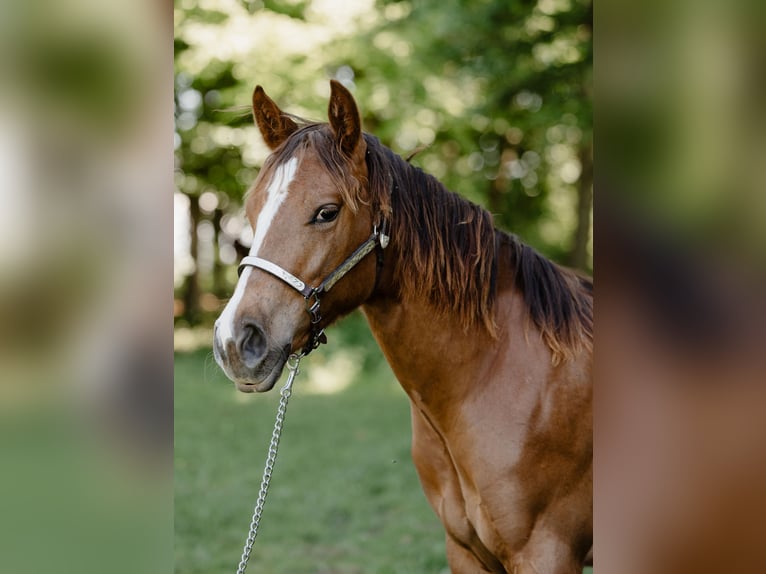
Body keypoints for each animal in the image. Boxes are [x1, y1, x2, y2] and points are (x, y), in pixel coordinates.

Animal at [213, 80, 593, 573]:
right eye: (252, 209)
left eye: (327, 212)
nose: (235, 342)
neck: (496, 375)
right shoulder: (465, 551)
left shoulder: (547, 553)